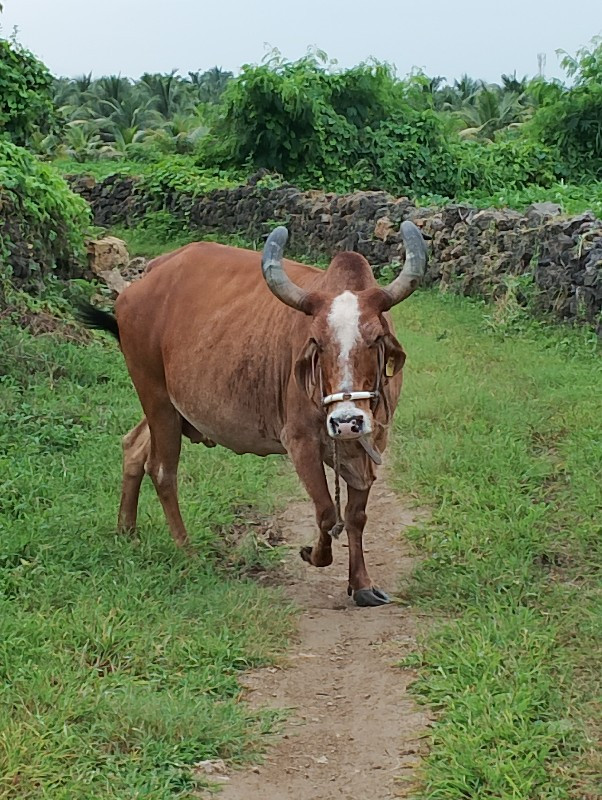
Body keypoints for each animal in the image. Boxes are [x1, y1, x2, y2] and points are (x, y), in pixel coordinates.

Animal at [78, 222, 426, 604]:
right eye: (316, 342)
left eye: (376, 337)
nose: (345, 421)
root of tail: (145, 279)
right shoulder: (300, 441)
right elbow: (325, 512)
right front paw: (313, 554)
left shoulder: (372, 442)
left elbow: (355, 515)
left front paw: (361, 584)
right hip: (154, 395)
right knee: (161, 469)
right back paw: (186, 549)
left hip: (171, 406)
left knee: (133, 447)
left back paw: (126, 531)